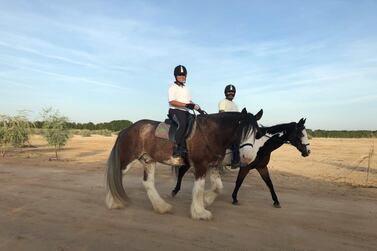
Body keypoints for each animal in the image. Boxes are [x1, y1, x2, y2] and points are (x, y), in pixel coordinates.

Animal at [106, 108, 262, 220]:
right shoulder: (200, 165)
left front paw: (206, 200)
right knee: (116, 176)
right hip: (127, 161)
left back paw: (162, 207)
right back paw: (114, 201)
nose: (247, 157)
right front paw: (200, 213)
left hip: (148, 161)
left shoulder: (213, 165)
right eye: (242, 131)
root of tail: (127, 129)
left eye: (256, 133)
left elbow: (218, 188)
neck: (211, 133)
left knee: (147, 183)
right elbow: (198, 189)